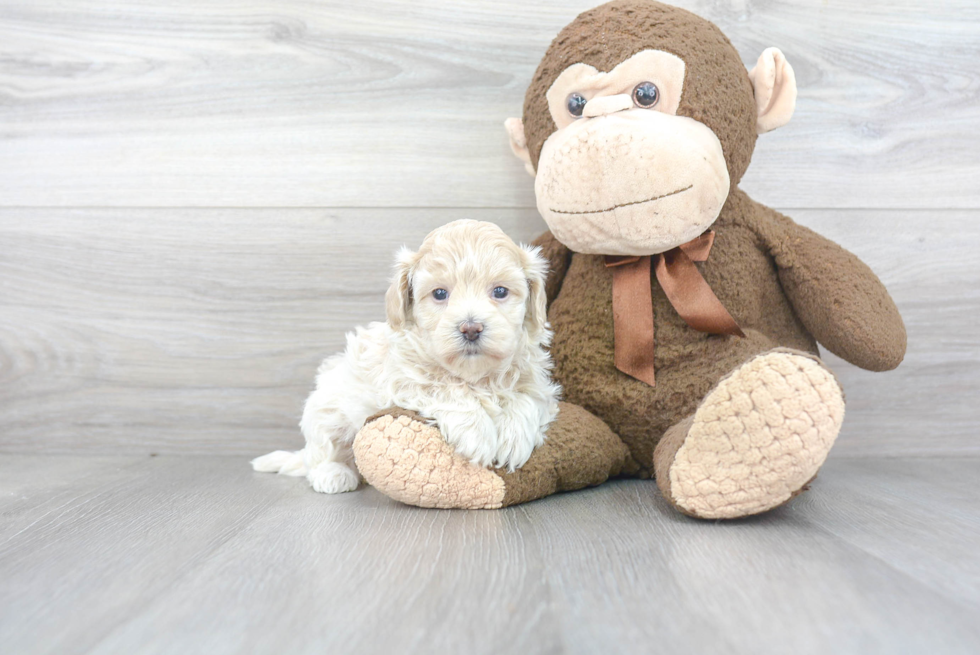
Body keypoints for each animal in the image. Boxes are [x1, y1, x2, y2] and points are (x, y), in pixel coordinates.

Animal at [251, 220, 560, 492]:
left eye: (500, 291)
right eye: (439, 294)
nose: (471, 328)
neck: (474, 375)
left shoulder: (538, 381)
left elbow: (526, 397)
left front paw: (514, 436)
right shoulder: (404, 380)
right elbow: (447, 390)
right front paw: (478, 434)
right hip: (325, 410)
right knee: (321, 452)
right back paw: (334, 474)